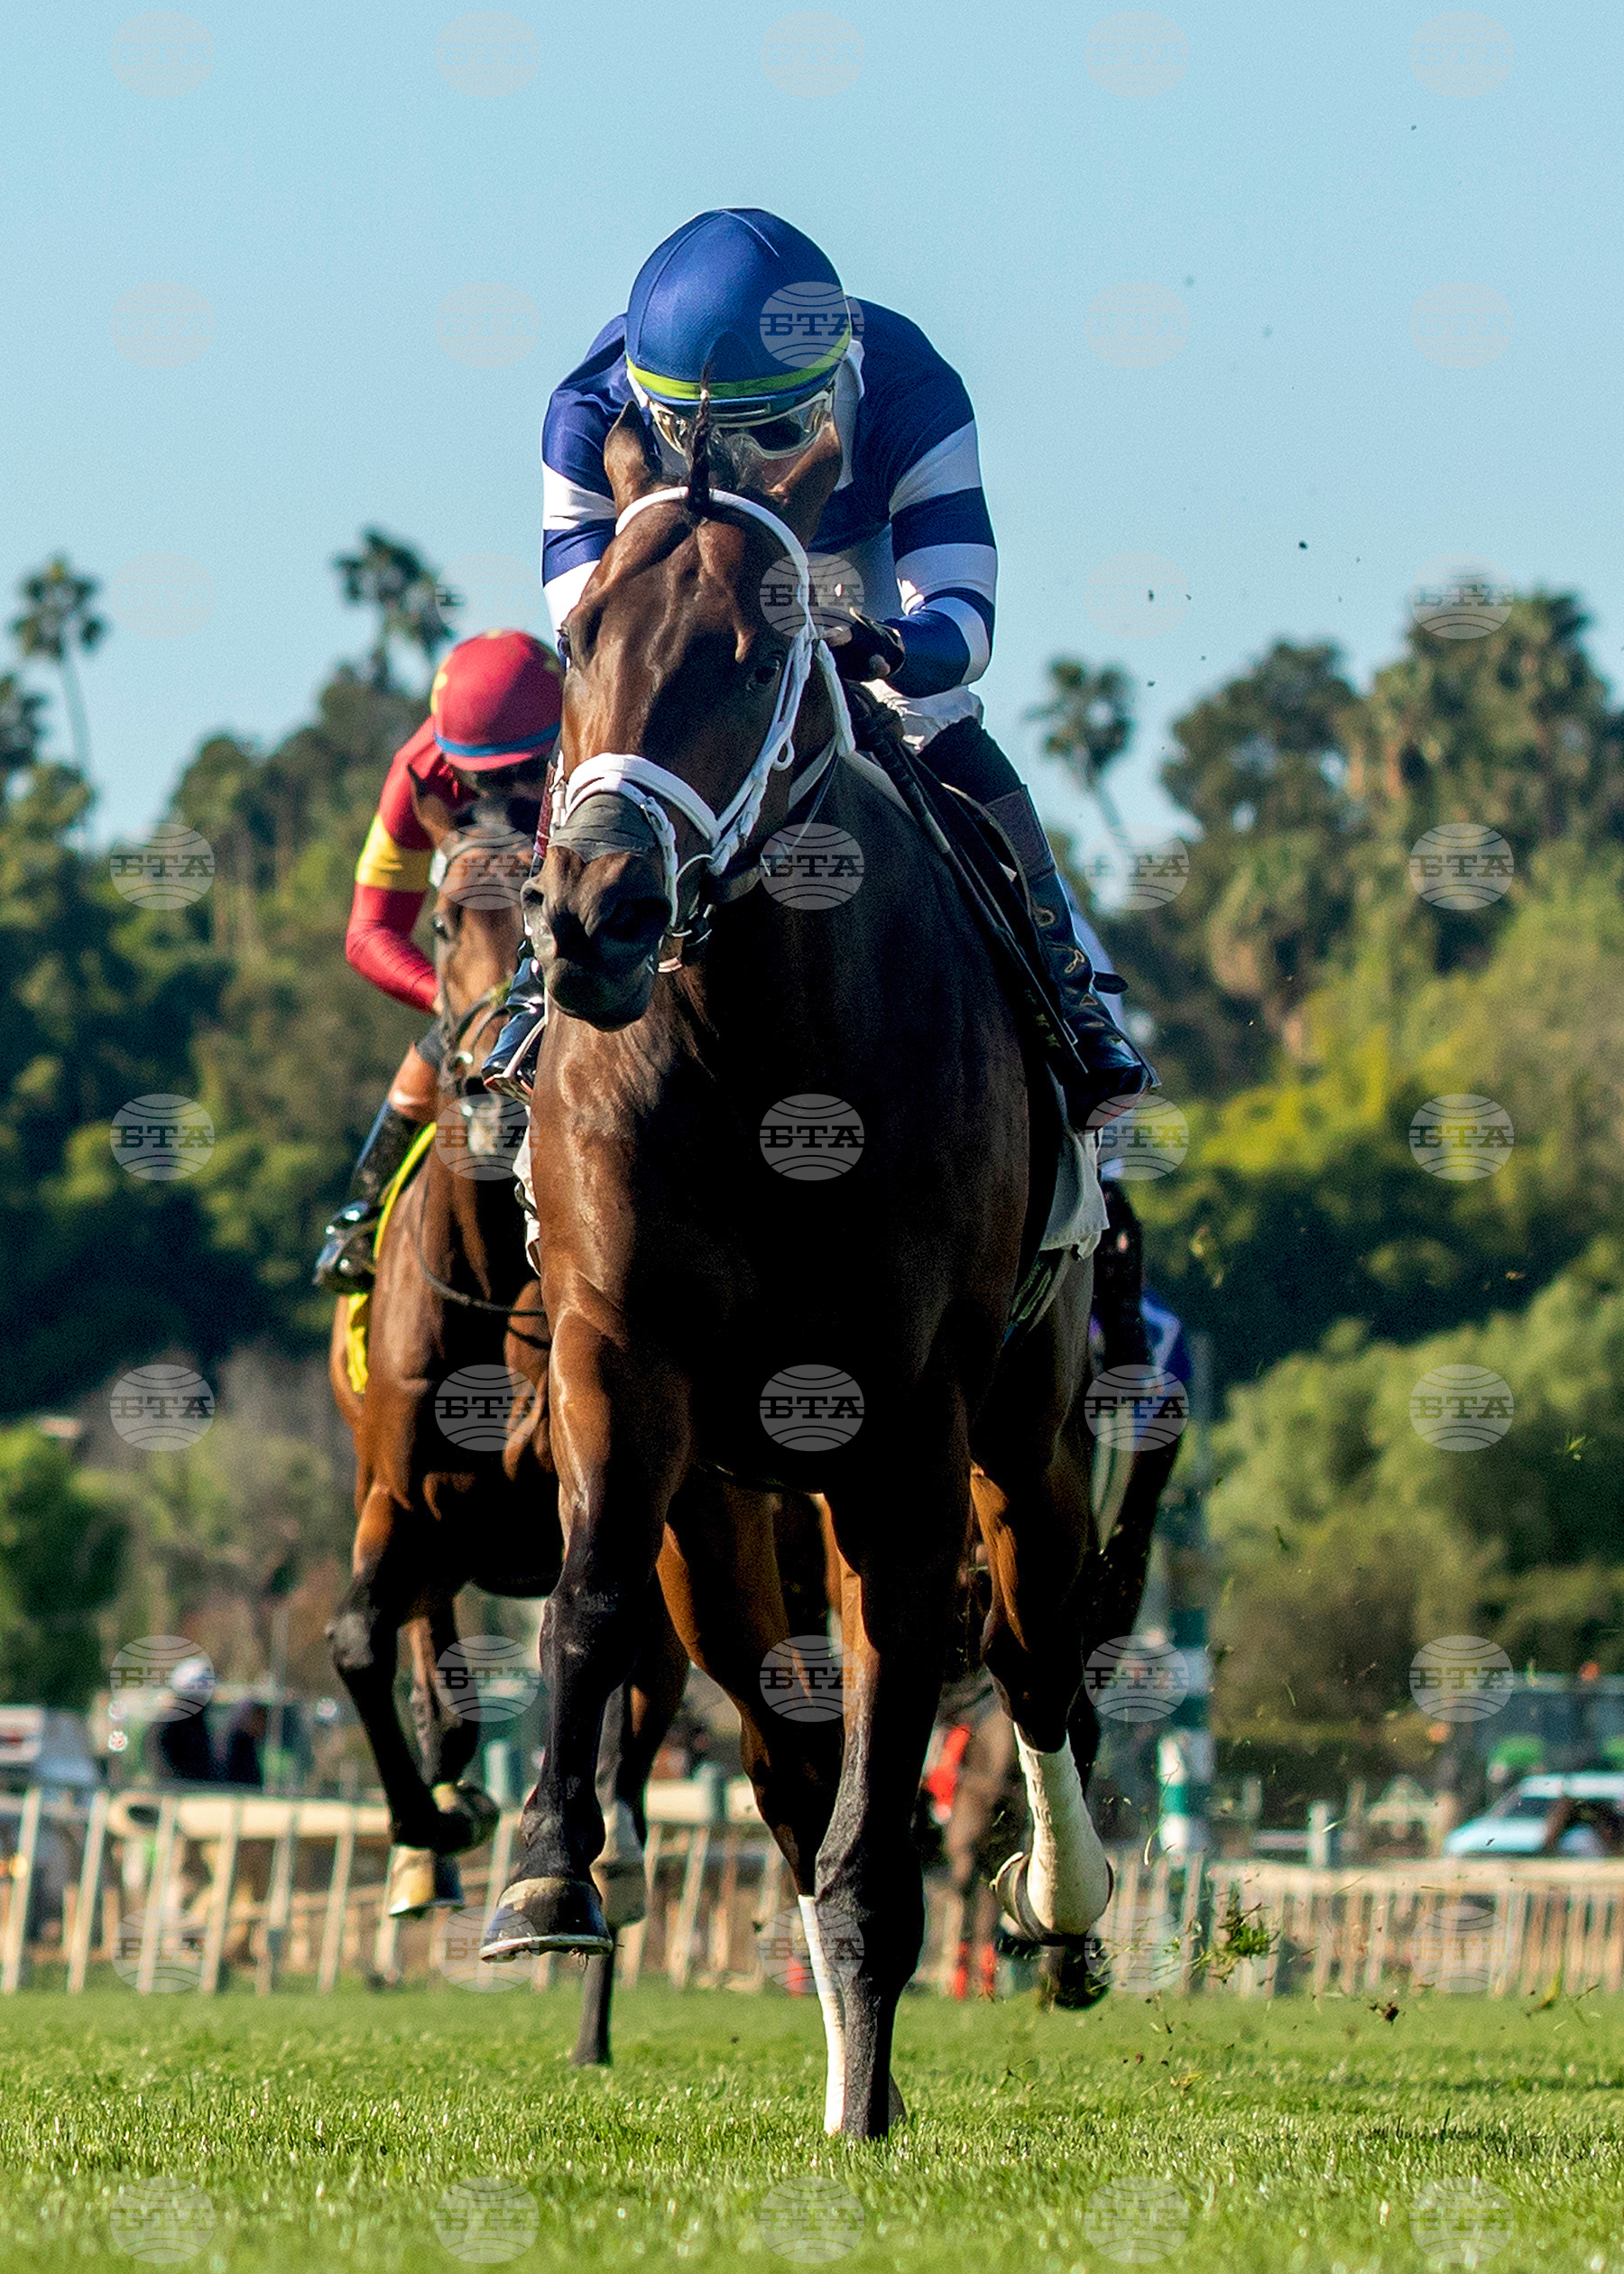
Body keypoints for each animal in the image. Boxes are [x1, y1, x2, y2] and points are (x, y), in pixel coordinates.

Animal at [325, 784, 686, 2063]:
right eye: (440, 923)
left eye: (523, 915)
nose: (484, 1093)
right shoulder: (397, 1496)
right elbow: (358, 1640)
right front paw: (432, 1827)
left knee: (646, 1703)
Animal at [478, 407, 1117, 2137]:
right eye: (580, 636)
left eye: (763, 654)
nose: (598, 912)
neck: (769, 1062)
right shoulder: (622, 1364)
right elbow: (590, 1594)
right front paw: (546, 1874)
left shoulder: (910, 1428)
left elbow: (914, 1735)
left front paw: (876, 2077)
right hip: (730, 1520)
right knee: (784, 1741)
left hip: (1031, 1430)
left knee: (1037, 1656)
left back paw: (1065, 1912)